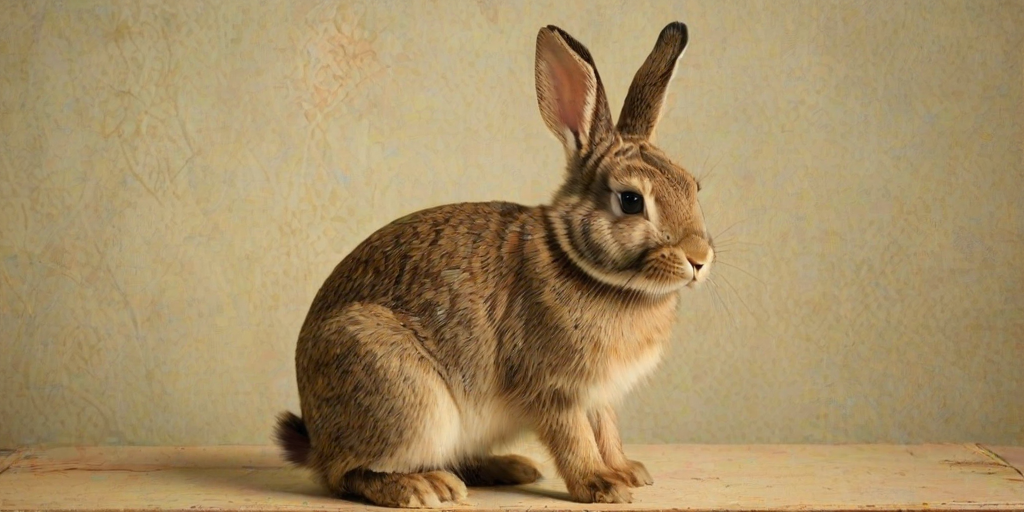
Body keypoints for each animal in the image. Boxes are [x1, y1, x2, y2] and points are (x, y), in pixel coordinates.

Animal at [275, 21, 713, 508]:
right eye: (632, 201)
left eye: (692, 186)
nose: (699, 259)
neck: (585, 266)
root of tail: (317, 438)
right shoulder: (554, 389)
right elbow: (575, 438)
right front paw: (602, 485)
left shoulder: (600, 396)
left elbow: (607, 432)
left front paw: (627, 472)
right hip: (406, 399)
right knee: (345, 474)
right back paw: (424, 487)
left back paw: (509, 468)